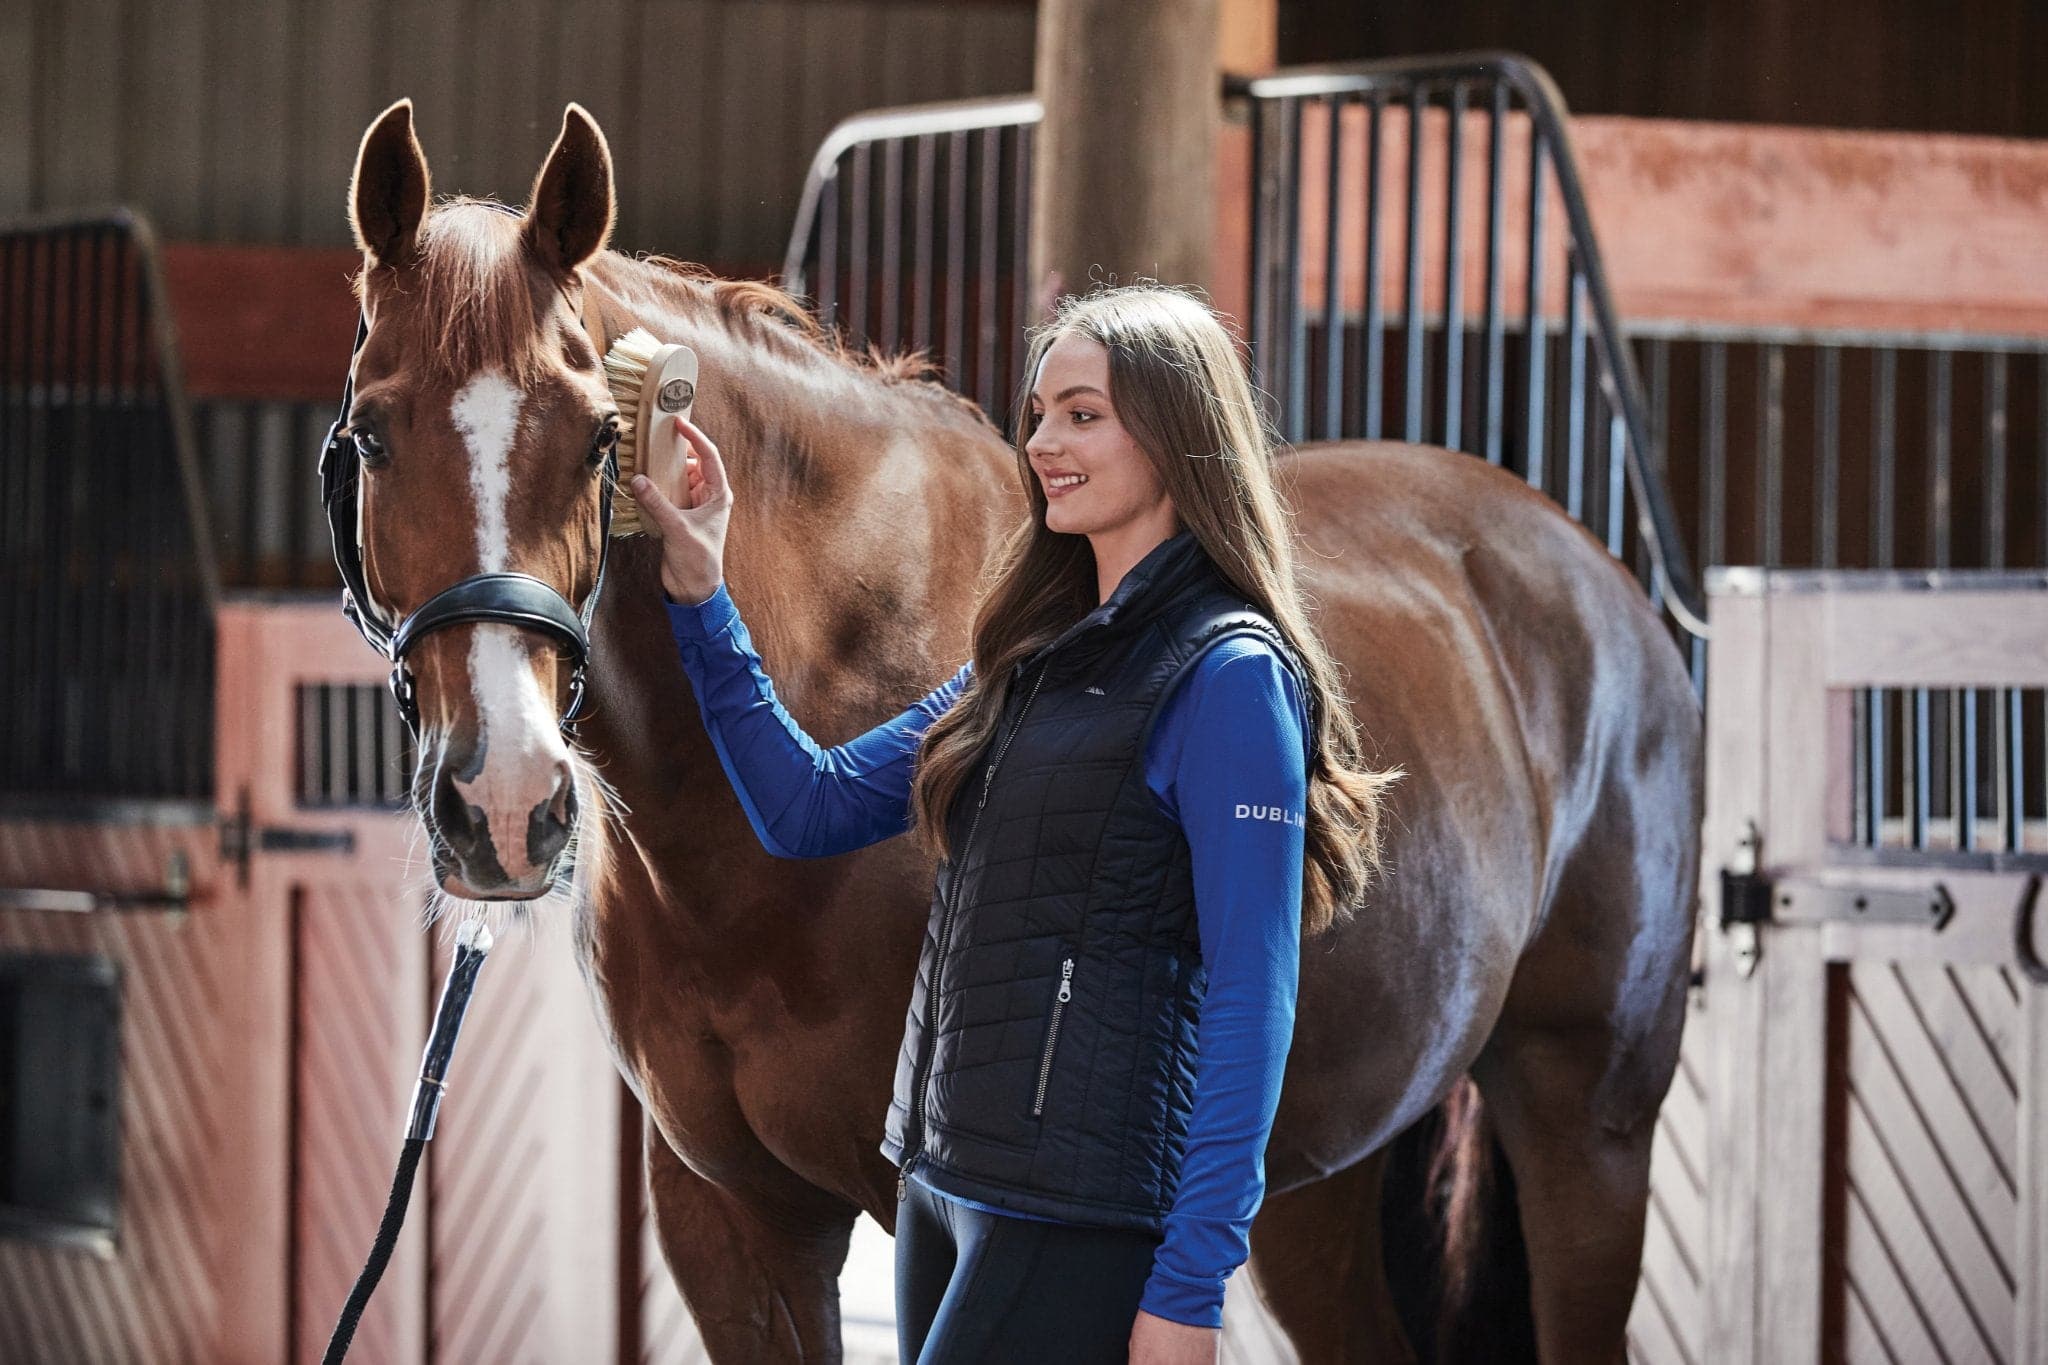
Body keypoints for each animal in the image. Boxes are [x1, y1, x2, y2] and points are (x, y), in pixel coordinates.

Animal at [348, 101, 1695, 1358]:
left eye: (595, 437)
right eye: (368, 433)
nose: (505, 805)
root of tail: (1591, 576)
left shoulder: (909, 1201)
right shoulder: (729, 1223)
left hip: (1585, 1128)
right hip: (1313, 1178)